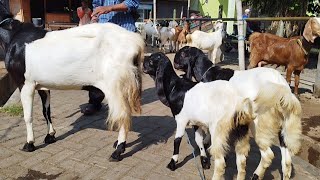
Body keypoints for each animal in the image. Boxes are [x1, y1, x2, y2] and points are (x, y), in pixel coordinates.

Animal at [143, 51, 290, 179]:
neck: (176, 87)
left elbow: (177, 140)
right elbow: (198, 140)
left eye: (151, 60)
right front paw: (204, 161)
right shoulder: (196, 121)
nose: (143, 59)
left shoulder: (181, 119)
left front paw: (172, 163)